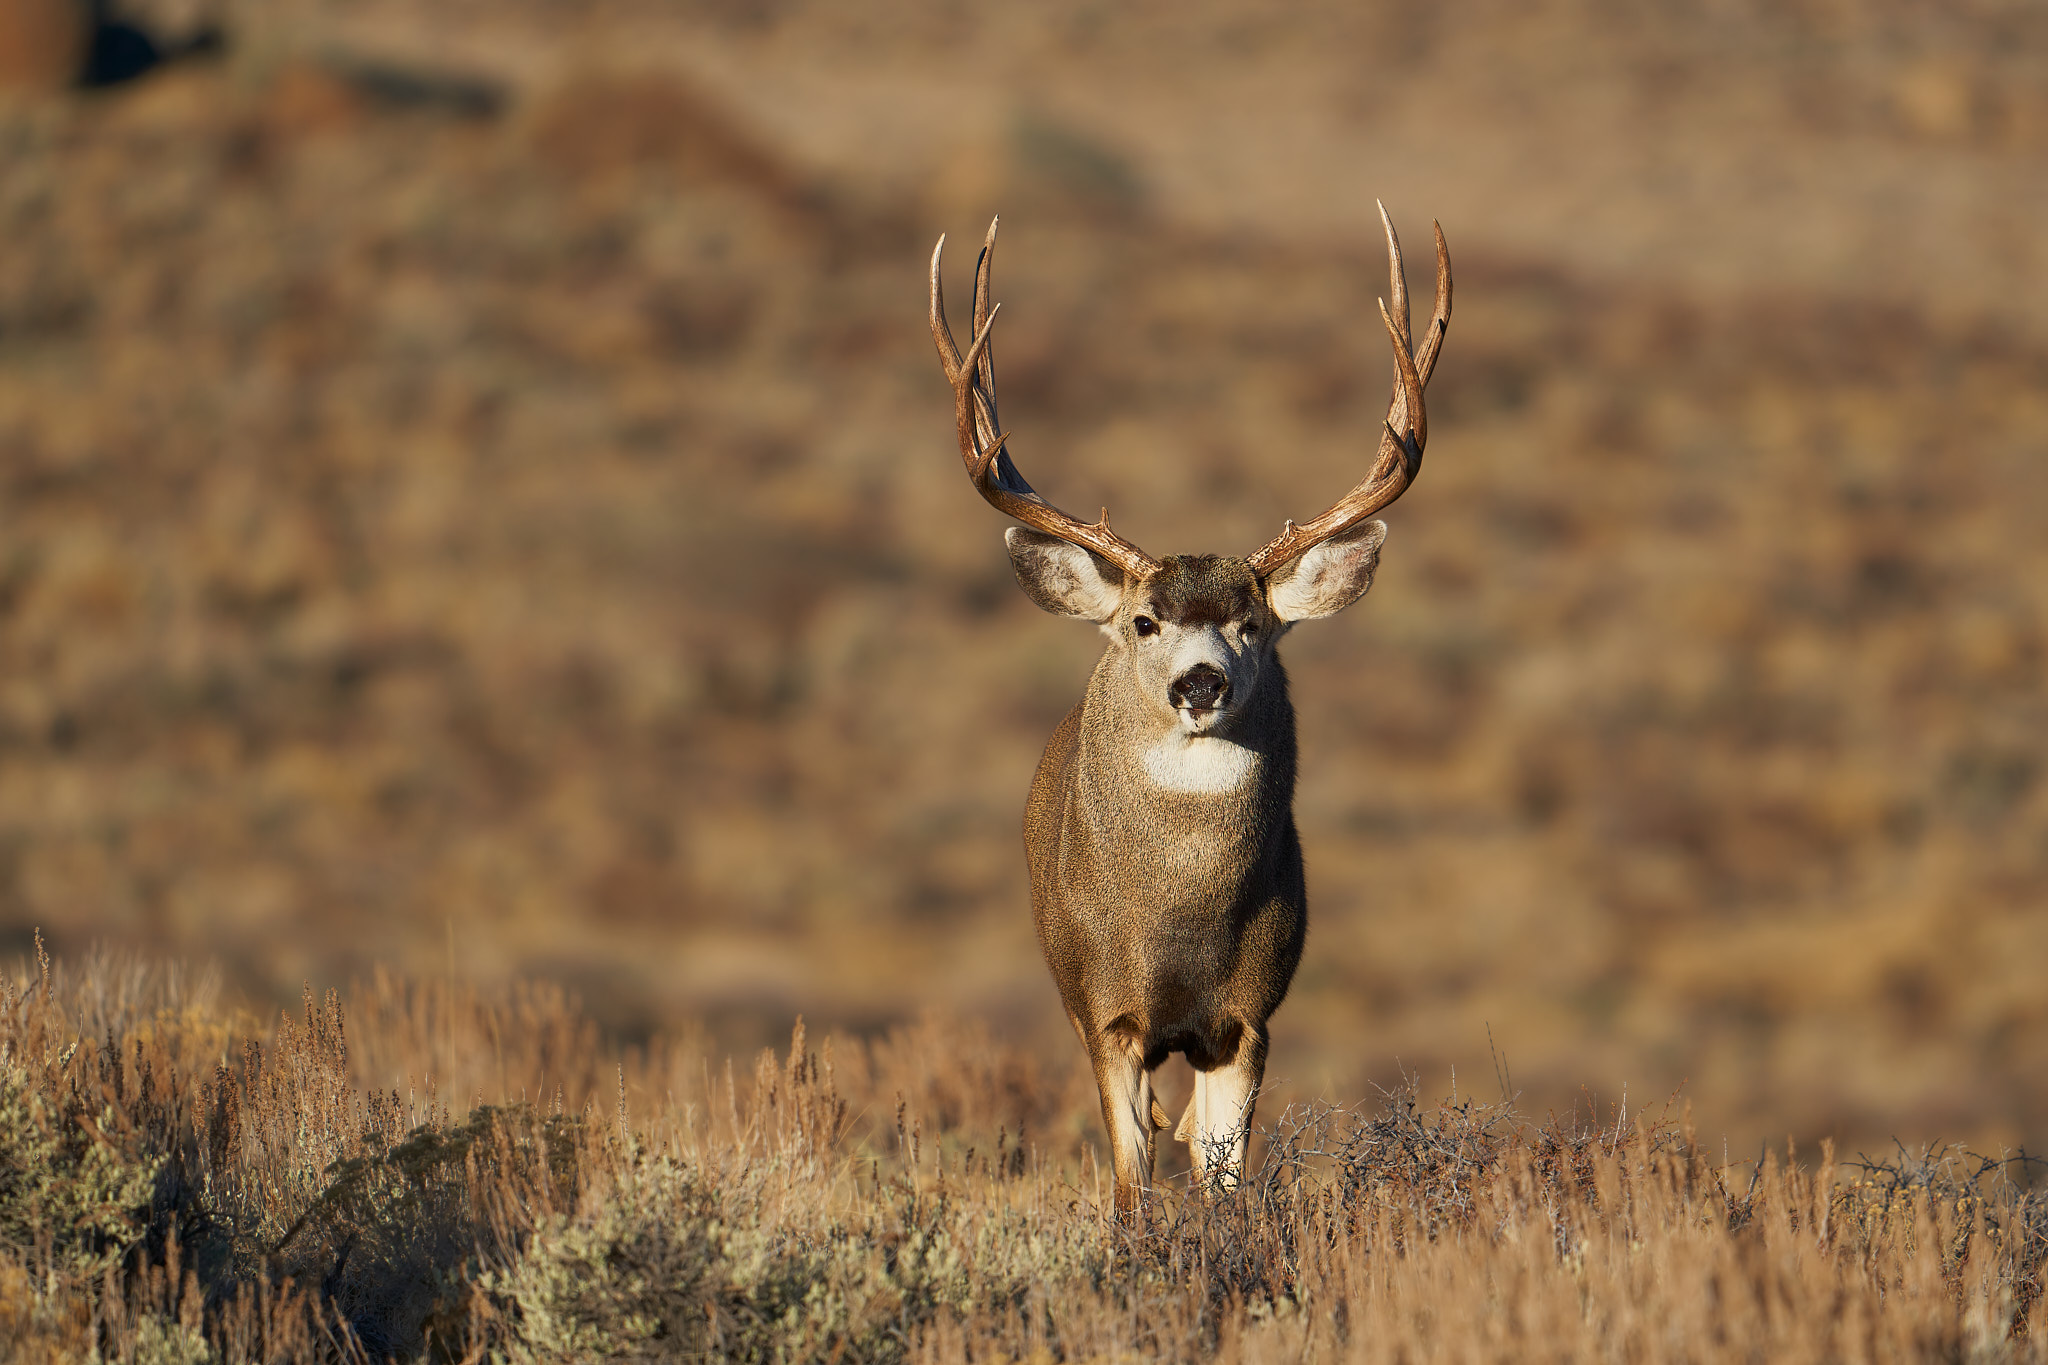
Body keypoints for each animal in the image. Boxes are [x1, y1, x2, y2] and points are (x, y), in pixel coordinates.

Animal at [928, 206, 1451, 1213]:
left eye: (1254, 623)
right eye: (1144, 620)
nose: (1200, 682)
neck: (1180, 926)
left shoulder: (1247, 1017)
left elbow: (1225, 1185)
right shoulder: (1106, 1011)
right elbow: (1132, 1187)